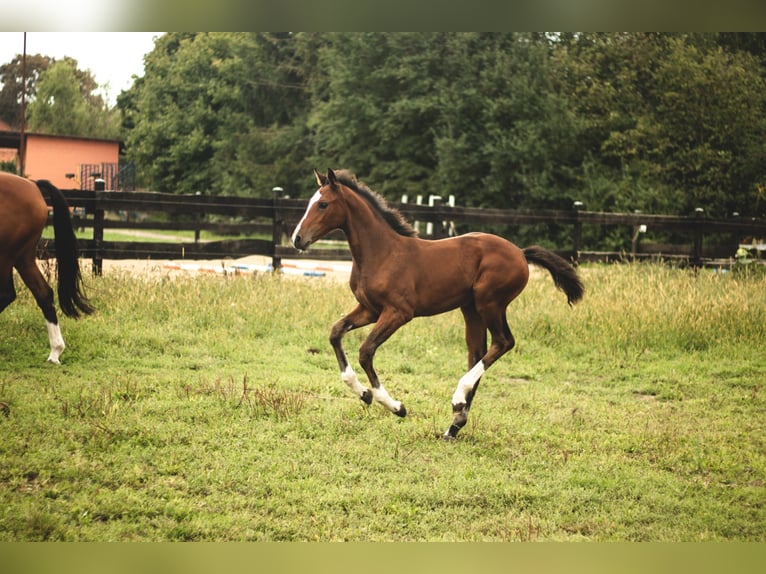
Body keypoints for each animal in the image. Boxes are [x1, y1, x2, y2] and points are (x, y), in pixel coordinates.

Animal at [0, 172, 94, 363]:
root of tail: (33, 185)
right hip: (23, 258)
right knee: (43, 294)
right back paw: (55, 351)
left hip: (7, 255)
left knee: (7, 294)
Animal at [292, 168, 584, 440]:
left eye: (323, 204)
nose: (297, 239)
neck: (382, 253)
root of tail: (521, 253)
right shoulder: (369, 310)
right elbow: (336, 333)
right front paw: (363, 393)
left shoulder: (398, 313)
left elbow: (366, 351)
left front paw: (395, 406)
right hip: (471, 309)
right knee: (477, 352)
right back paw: (455, 424)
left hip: (490, 302)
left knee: (503, 342)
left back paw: (457, 399)